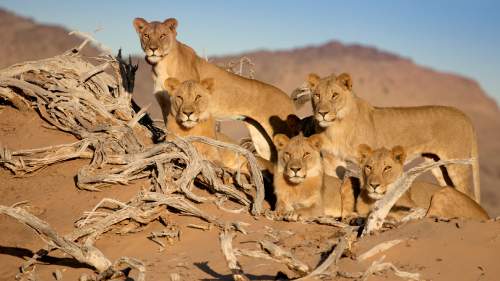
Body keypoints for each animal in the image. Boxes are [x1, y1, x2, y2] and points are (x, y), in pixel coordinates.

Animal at [134, 17, 296, 161]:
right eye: (146, 35)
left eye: (162, 35)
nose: (152, 49)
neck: (160, 65)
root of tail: (289, 99)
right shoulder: (166, 105)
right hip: (262, 140)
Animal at [304, 71, 480, 201]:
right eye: (317, 95)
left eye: (334, 95)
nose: (322, 113)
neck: (336, 127)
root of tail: (465, 116)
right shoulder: (332, 160)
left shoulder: (366, 161)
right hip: (438, 165)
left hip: (457, 164)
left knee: (469, 193)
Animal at [358, 143, 490, 220]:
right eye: (369, 167)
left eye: (387, 168)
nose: (374, 185)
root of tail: (487, 216)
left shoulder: (413, 206)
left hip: (442, 194)